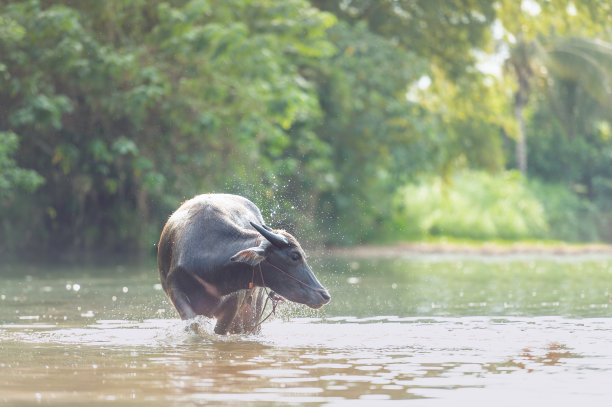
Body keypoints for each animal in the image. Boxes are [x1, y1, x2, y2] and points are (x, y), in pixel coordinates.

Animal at [158, 194, 330, 334]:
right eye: (295, 256)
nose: (325, 295)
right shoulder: (176, 293)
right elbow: (193, 326)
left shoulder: (234, 305)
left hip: (254, 305)